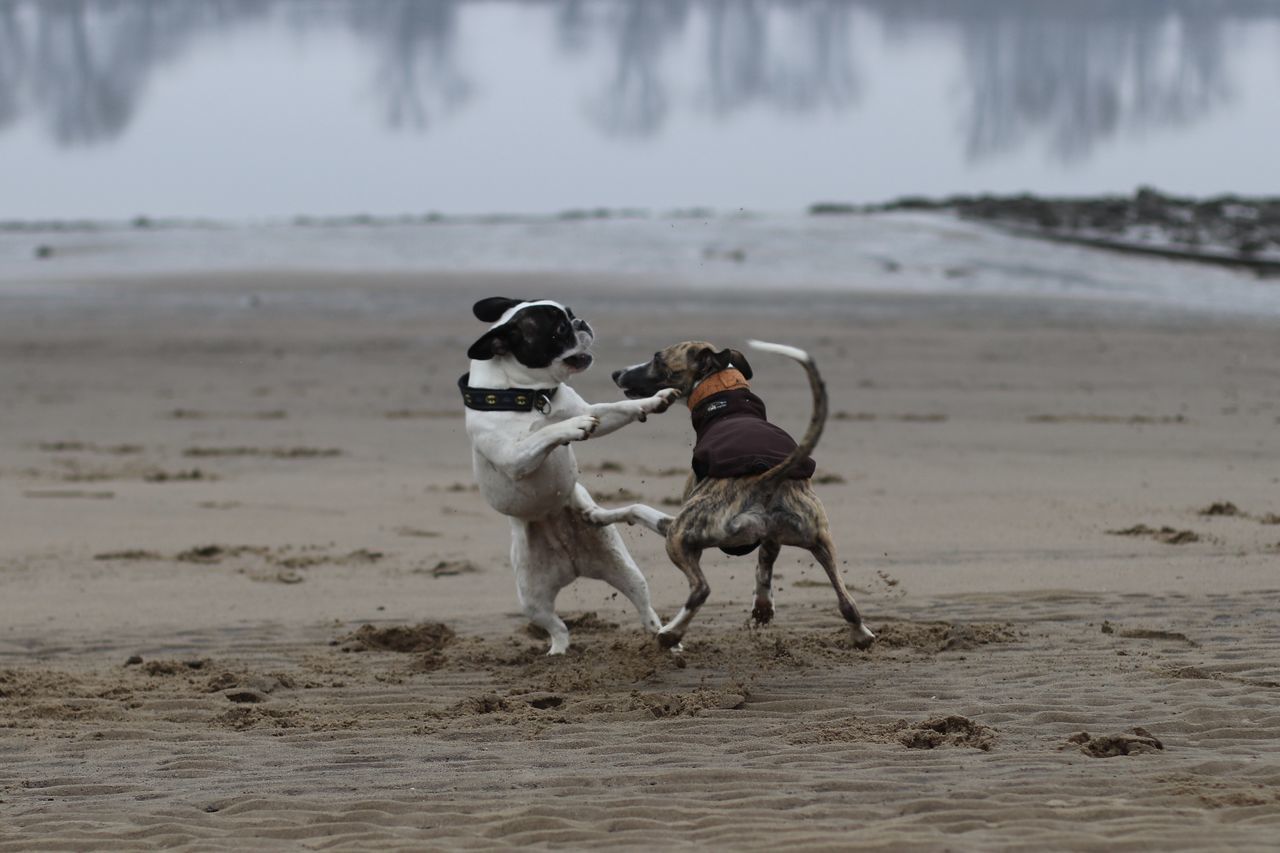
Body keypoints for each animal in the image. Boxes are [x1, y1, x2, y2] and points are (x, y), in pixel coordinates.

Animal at [460, 295, 680, 653]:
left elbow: (614, 410)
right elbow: (545, 433)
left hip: (625, 569)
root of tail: (572, 563)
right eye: (560, 329)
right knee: (558, 627)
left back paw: (666, 640)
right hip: (531, 598)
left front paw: (652, 400)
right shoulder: (515, 458)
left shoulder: (594, 413)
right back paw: (558, 652)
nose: (581, 323)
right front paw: (570, 427)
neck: (530, 394)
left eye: (572, 315)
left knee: (644, 606)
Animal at [591, 335, 880, 648]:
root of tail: (762, 479)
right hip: (821, 540)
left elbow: (635, 508)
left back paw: (671, 633)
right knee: (847, 601)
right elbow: (765, 564)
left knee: (701, 589)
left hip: (677, 536)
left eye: (658, 358)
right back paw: (861, 634)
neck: (724, 396)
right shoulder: (772, 538)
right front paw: (763, 606)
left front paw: (596, 515)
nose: (616, 373)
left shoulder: (680, 524)